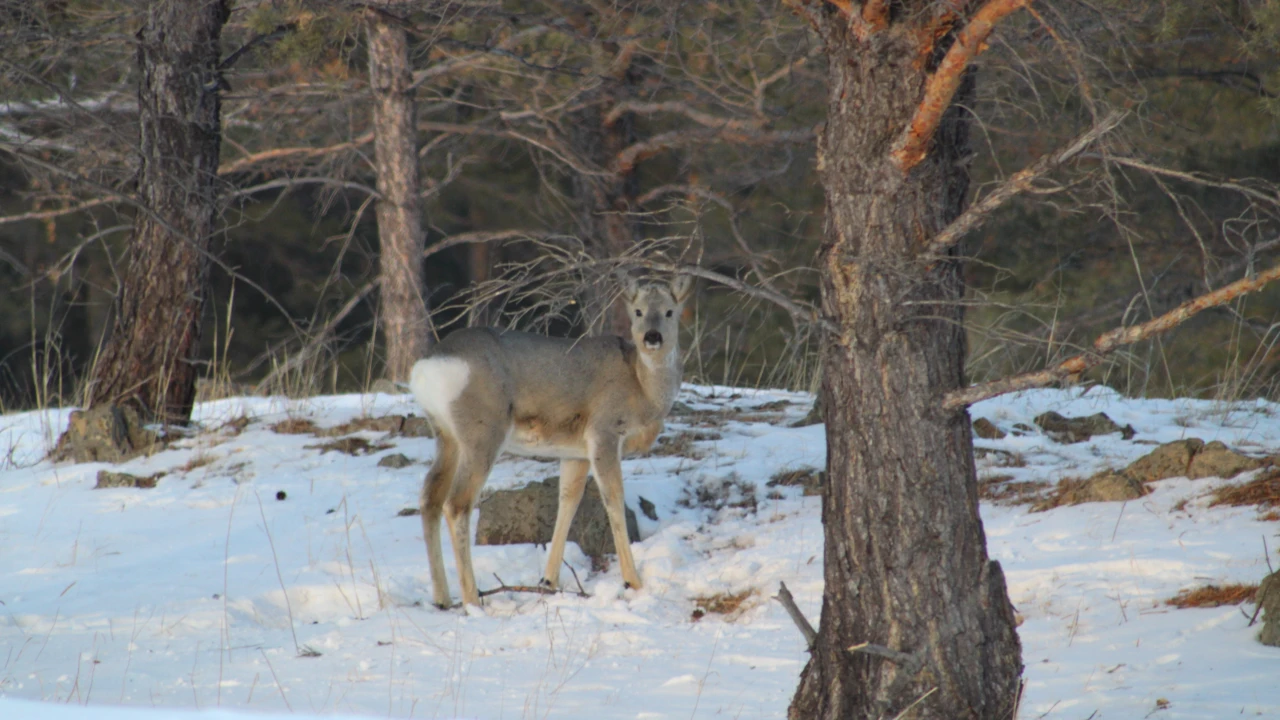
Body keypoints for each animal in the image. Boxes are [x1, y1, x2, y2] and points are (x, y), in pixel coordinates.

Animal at [407, 271, 691, 602]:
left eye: (670, 311)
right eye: (638, 311)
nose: (652, 337)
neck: (642, 389)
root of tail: (426, 369)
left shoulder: (575, 452)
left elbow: (567, 501)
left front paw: (548, 580)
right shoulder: (604, 431)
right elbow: (613, 499)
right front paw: (633, 581)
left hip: (445, 435)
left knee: (430, 497)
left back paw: (442, 598)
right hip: (483, 430)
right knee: (457, 503)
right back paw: (472, 599)